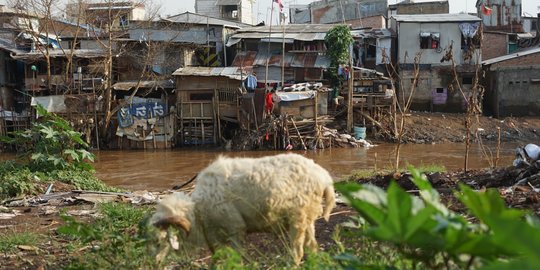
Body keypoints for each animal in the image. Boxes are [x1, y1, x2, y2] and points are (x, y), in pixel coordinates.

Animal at [148, 153, 334, 264]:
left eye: (160, 241)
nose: (155, 262)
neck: (198, 210)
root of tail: (323, 176)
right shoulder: (215, 236)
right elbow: (216, 256)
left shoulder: (235, 228)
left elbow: (237, 256)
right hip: (308, 217)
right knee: (312, 247)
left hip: (298, 217)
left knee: (297, 251)